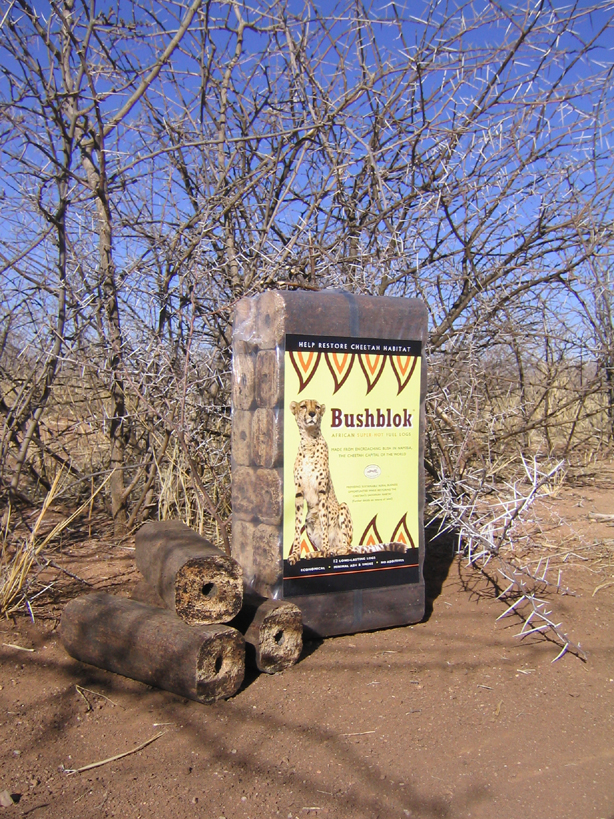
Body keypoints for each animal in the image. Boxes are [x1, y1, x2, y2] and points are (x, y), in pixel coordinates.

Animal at [287, 399, 353, 564]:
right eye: (303, 406)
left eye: (317, 407)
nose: (312, 414)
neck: (309, 442)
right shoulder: (298, 492)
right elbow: (296, 526)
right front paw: (295, 554)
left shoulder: (322, 491)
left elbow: (324, 521)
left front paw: (325, 552)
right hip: (308, 519)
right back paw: (316, 553)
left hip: (343, 508)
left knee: (348, 547)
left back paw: (334, 550)